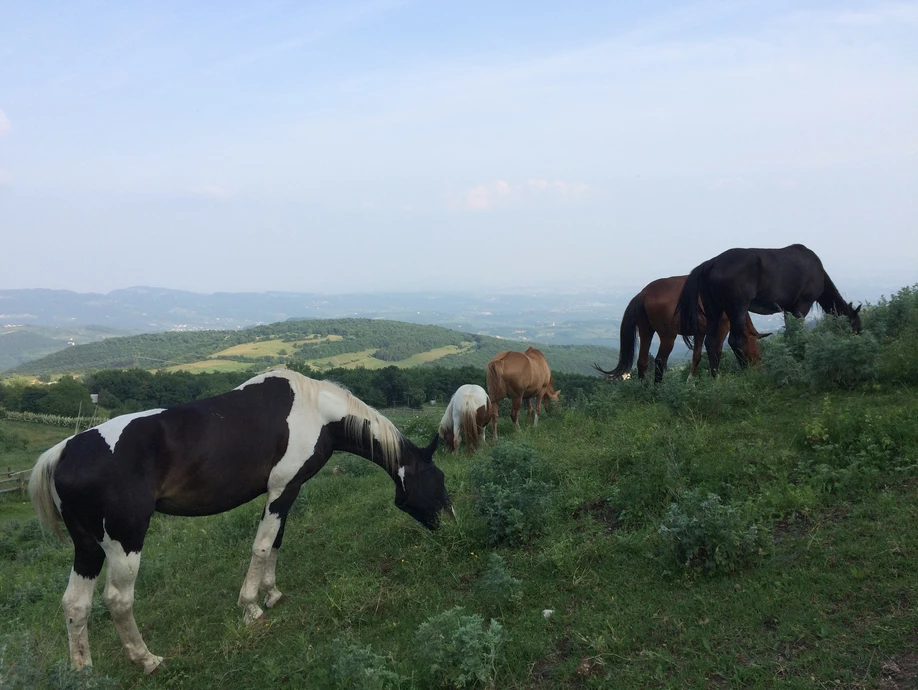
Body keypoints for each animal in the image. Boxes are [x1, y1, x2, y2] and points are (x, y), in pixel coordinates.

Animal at [30, 368, 454, 676]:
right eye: (438, 480)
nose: (452, 525)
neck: (317, 411)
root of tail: (63, 452)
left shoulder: (289, 491)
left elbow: (277, 542)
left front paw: (273, 593)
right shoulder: (282, 489)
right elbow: (263, 546)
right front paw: (251, 608)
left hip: (88, 547)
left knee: (75, 604)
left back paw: (83, 671)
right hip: (124, 542)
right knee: (118, 600)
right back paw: (148, 660)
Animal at [592, 274, 772, 382]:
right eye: (756, 347)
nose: (759, 367)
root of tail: (645, 293)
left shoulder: (700, 333)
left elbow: (697, 356)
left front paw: (691, 380)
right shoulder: (722, 327)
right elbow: (717, 351)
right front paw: (715, 377)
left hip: (646, 330)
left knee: (642, 361)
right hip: (668, 336)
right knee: (659, 360)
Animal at [676, 241, 864, 374]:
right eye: (855, 324)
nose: (860, 338)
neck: (819, 272)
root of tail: (712, 263)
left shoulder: (788, 310)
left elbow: (790, 333)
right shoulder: (802, 306)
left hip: (713, 310)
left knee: (710, 342)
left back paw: (716, 375)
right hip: (737, 309)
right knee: (734, 341)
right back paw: (746, 370)